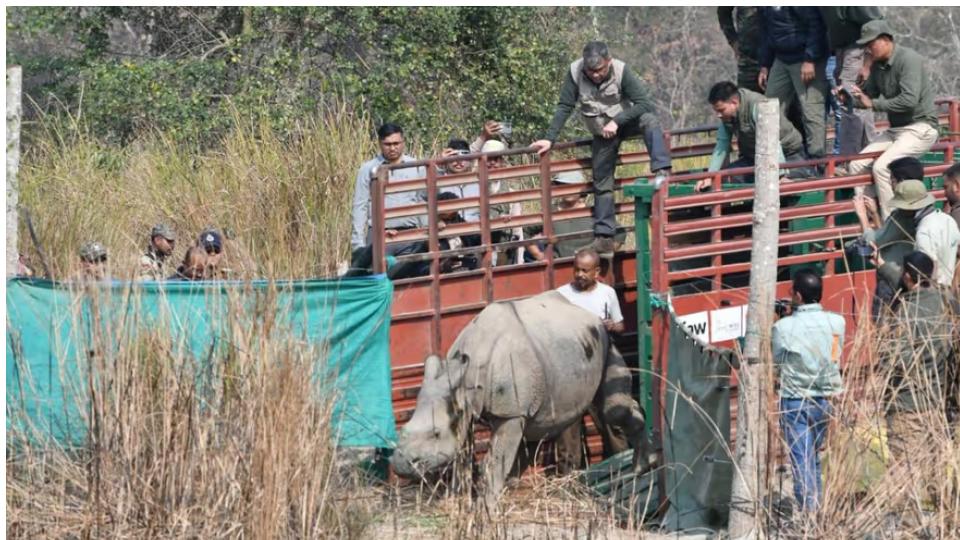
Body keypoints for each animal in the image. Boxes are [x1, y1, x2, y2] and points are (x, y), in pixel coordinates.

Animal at [391, 290, 649, 503]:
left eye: (435, 434)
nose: (400, 464)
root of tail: (589, 315)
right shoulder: (465, 408)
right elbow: (462, 458)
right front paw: (455, 502)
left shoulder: (511, 412)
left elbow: (493, 461)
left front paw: (486, 510)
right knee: (547, 423)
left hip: (606, 342)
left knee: (613, 410)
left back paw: (641, 468)